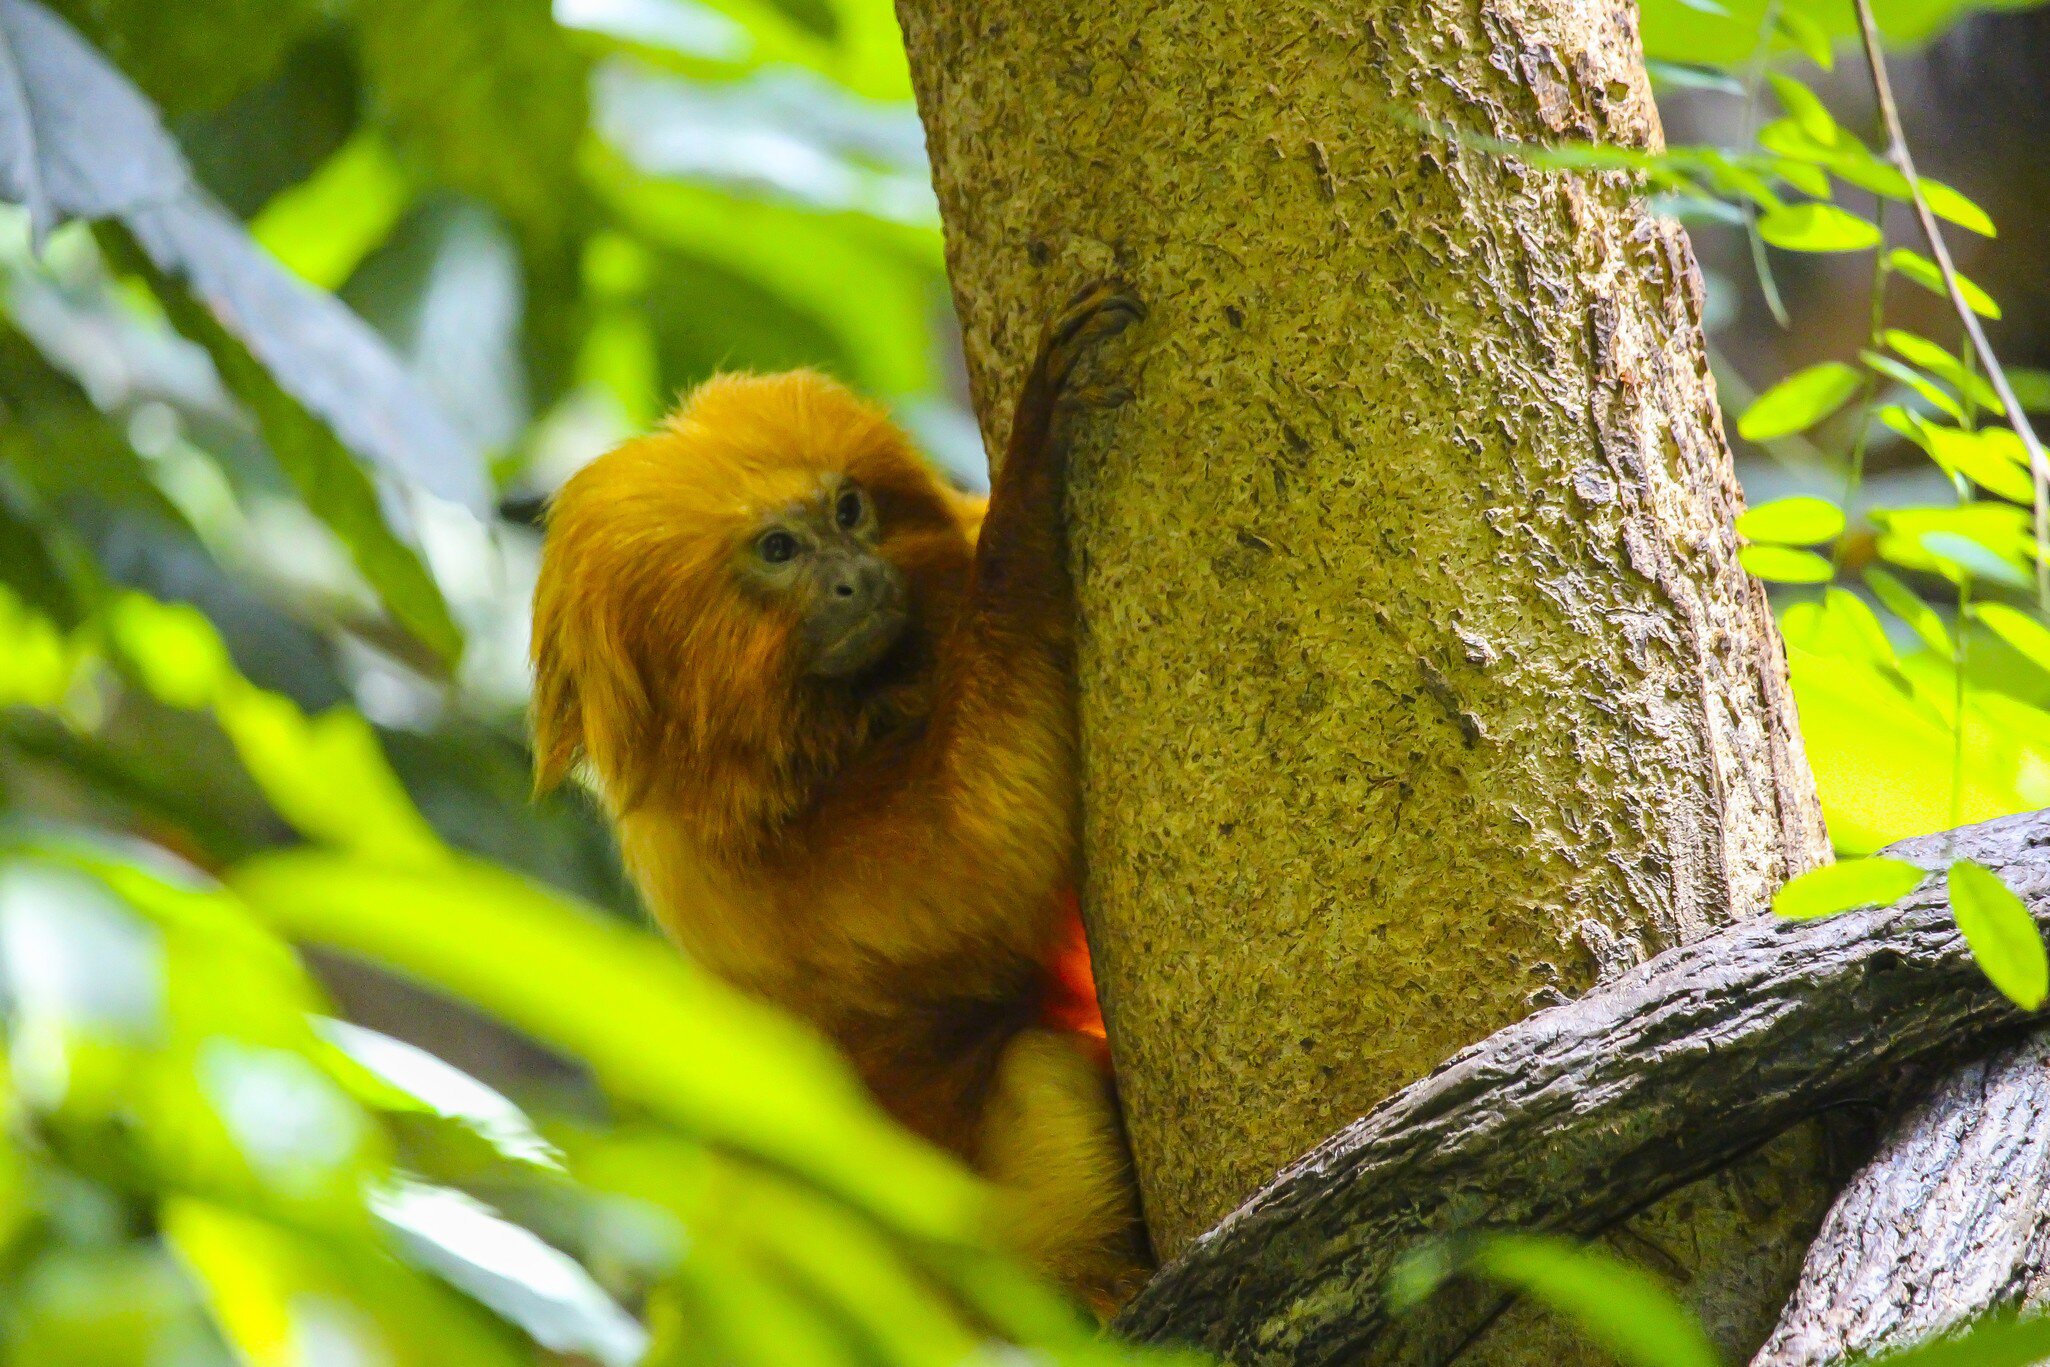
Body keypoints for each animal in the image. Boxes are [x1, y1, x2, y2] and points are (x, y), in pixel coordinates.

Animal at [528, 281, 1150, 1308]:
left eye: (851, 510)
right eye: (780, 548)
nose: (857, 578)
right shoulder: (732, 866)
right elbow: (979, 844)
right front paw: (1033, 473)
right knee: (1038, 1073)